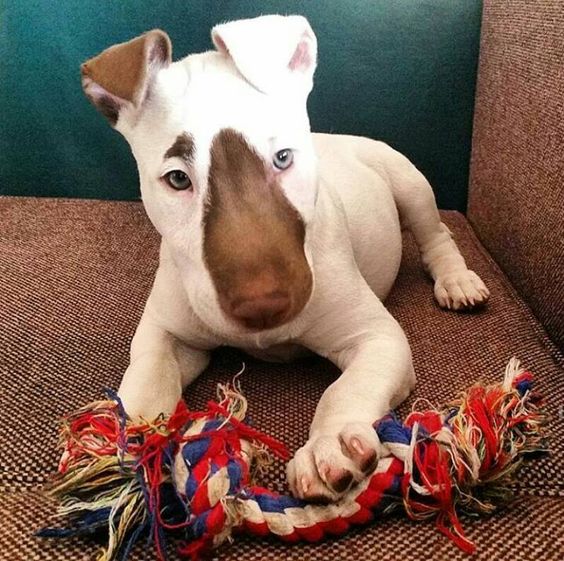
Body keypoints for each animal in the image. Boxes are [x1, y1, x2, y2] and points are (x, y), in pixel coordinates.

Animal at [80, 15, 490, 500]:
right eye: (178, 179)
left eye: (282, 157)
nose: (262, 305)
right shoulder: (166, 332)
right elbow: (149, 375)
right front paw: (128, 441)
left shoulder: (377, 338)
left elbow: (345, 390)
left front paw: (332, 445)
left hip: (409, 183)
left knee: (436, 234)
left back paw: (457, 280)